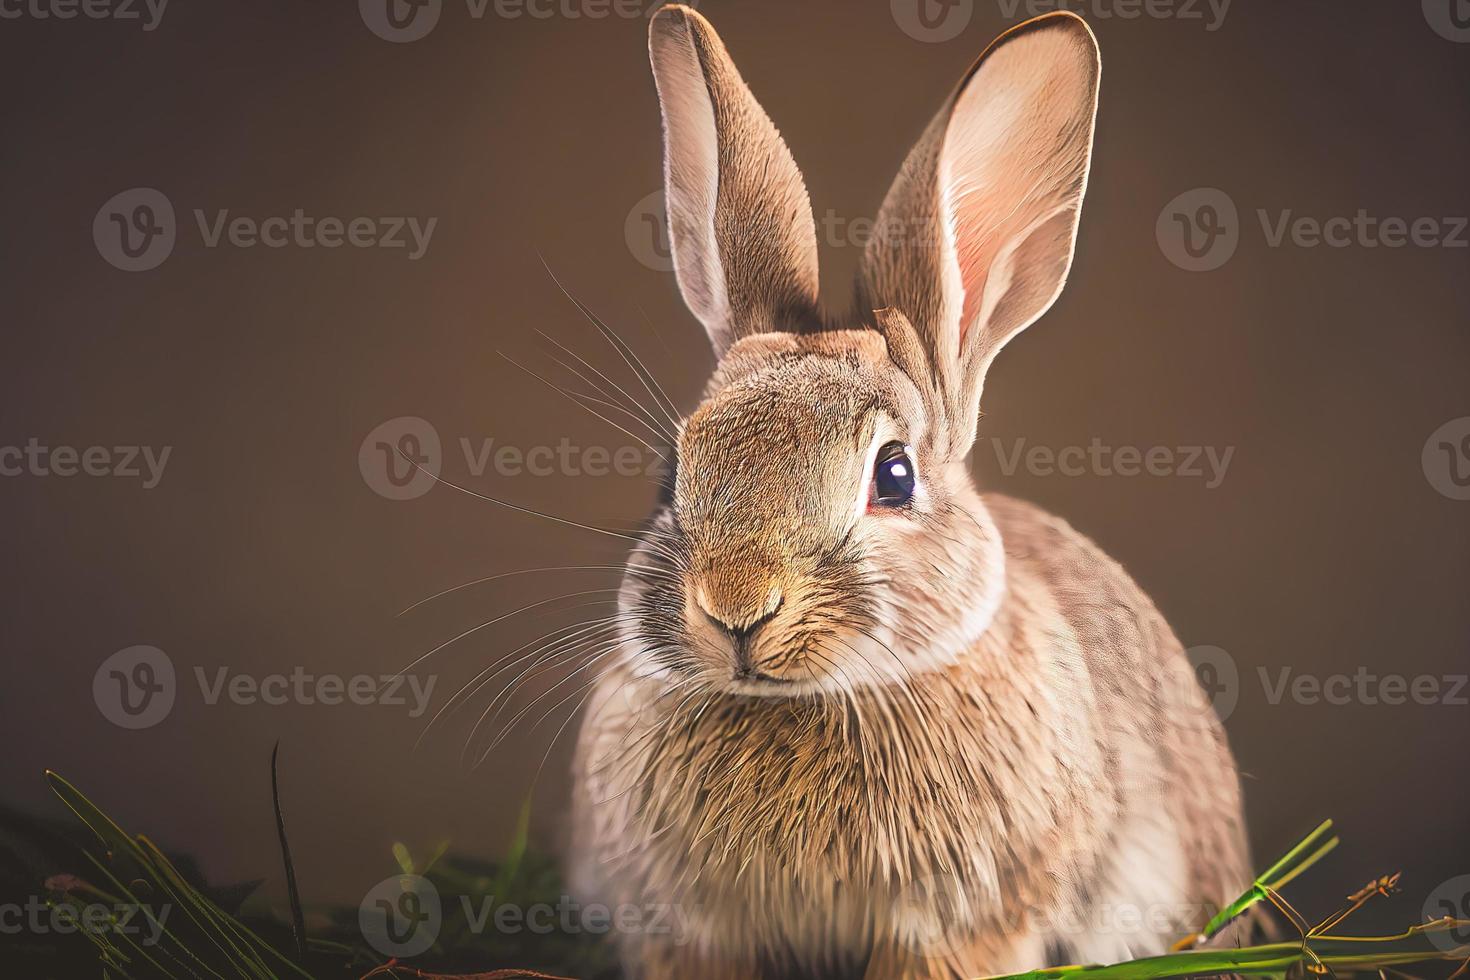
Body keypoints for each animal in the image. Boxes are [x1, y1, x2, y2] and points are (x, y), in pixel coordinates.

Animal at [573, 7, 1252, 980]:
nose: (737, 608)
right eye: (674, 471)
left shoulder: (964, 924)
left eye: (893, 476)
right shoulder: (689, 932)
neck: (804, 699)